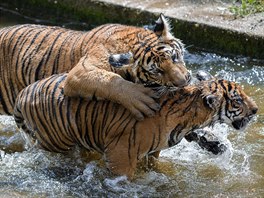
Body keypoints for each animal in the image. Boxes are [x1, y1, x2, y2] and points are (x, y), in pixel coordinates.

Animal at [0, 13, 190, 120]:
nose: (184, 82)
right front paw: (139, 99)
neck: (132, 41)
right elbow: (110, 81)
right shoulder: (78, 73)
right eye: (157, 71)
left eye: (174, 57)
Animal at [12, 73, 258, 179]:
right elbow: (123, 177)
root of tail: (23, 92)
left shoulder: (153, 151)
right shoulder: (121, 152)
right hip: (58, 142)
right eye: (238, 100)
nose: (256, 110)